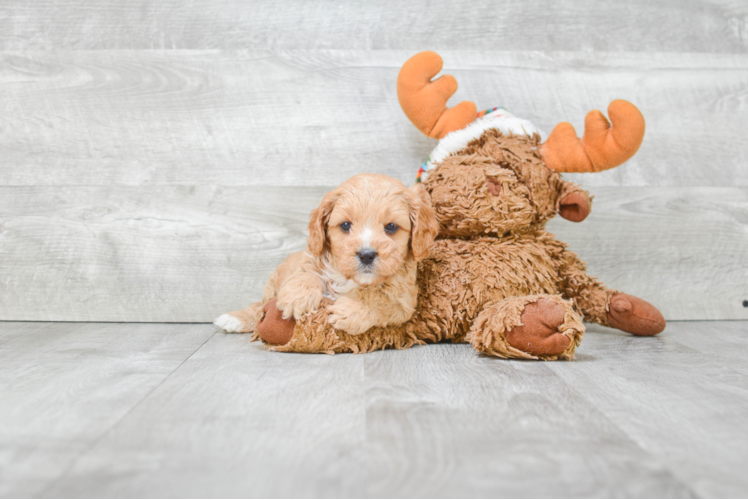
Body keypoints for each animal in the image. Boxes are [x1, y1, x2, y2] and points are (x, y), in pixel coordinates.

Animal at [213, 173, 438, 336]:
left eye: (391, 227)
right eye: (345, 225)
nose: (366, 255)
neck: (349, 279)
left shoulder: (404, 301)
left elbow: (379, 298)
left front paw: (352, 308)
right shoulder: (311, 258)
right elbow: (305, 274)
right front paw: (297, 298)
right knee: (259, 305)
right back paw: (234, 319)